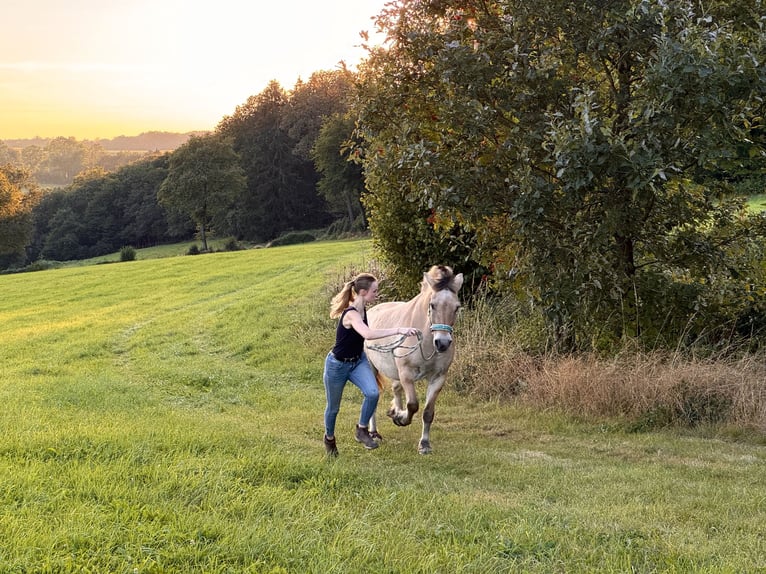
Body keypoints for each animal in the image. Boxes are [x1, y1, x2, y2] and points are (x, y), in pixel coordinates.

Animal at [364, 266, 464, 454]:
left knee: (396, 389)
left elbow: (428, 412)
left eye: (457, 307)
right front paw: (401, 418)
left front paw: (424, 444)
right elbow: (413, 405)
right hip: (372, 368)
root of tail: (371, 311)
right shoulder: (406, 374)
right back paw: (373, 433)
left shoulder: (438, 378)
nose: (442, 343)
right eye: (432, 305)